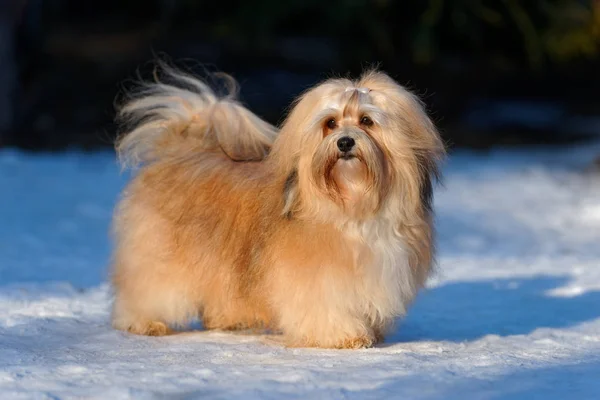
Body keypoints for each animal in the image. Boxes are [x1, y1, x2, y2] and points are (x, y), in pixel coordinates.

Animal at [110, 64, 442, 348]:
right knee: (147, 287)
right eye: (330, 123)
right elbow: (326, 309)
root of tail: (181, 150)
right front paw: (344, 336)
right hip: (159, 254)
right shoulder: (318, 281)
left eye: (366, 121)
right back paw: (145, 322)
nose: (345, 142)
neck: (353, 207)